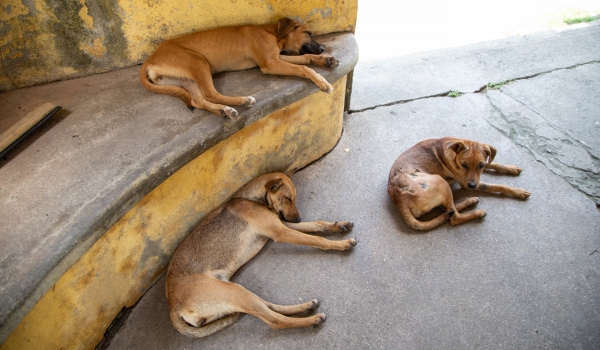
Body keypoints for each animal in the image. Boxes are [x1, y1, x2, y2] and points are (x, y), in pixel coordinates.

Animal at [138, 17, 340, 118]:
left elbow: (305, 58)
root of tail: (151, 58)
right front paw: (322, 81)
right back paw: (242, 101)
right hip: (198, 61)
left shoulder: (274, 57)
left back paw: (224, 110)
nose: (322, 49)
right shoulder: (270, 63)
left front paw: (325, 60)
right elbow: (304, 68)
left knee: (198, 100)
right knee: (210, 93)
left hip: (184, 79)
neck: (272, 33)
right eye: (308, 33)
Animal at [166, 172, 356, 336]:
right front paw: (342, 244)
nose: (298, 219)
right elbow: (317, 239)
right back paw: (312, 319)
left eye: (294, 198)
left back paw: (306, 306)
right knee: (275, 320)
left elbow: (317, 224)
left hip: (235, 292)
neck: (252, 199)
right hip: (234, 292)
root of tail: (173, 308)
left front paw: (338, 225)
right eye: (287, 198)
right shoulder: (281, 231)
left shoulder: (282, 224)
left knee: (269, 306)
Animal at [386, 138, 532, 231]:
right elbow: (498, 186)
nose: (472, 186)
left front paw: (511, 168)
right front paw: (519, 191)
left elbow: (494, 163)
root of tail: (400, 199)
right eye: (463, 165)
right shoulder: (468, 183)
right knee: (453, 217)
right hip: (441, 181)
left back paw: (470, 201)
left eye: (481, 165)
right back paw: (477, 212)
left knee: (449, 210)